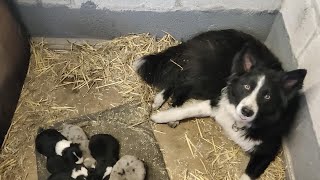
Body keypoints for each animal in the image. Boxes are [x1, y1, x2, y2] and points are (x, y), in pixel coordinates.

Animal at [133, 28, 308, 179]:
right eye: (246, 87)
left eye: (267, 96)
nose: (246, 111)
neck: (238, 123)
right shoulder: (216, 102)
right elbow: (186, 111)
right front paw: (161, 117)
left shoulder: (267, 151)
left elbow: (248, 175)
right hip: (207, 79)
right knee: (179, 80)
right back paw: (161, 102)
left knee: (179, 79)